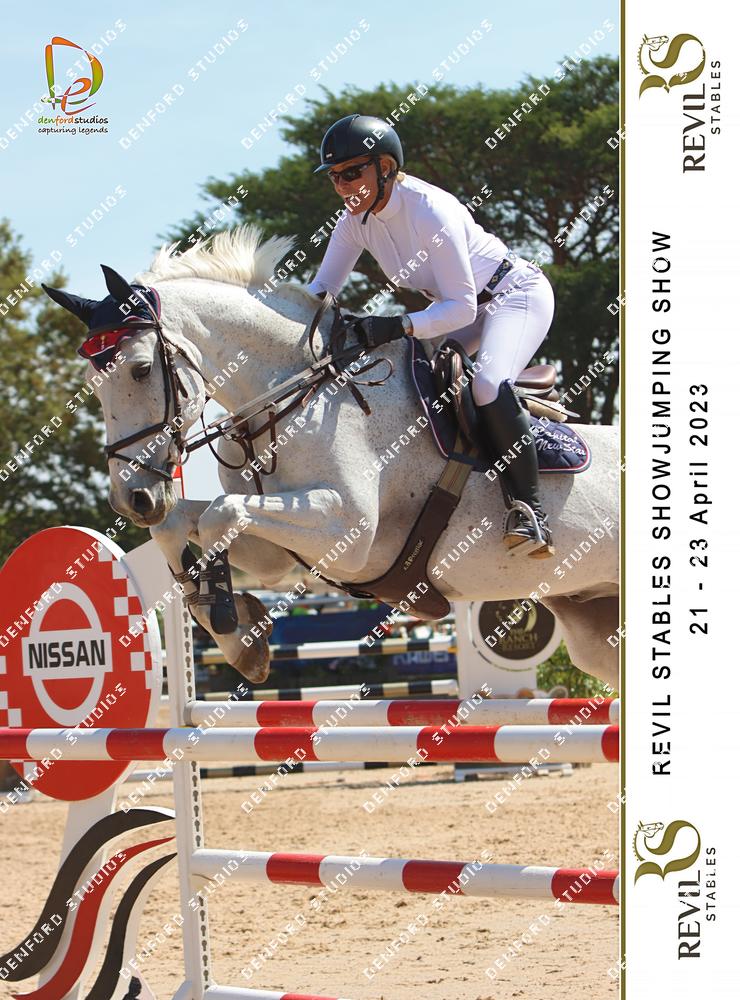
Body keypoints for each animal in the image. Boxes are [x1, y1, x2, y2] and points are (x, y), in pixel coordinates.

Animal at [43, 226, 620, 690]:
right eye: (93, 384)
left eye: (140, 369)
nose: (133, 499)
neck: (294, 395)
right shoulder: (280, 555)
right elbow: (184, 523)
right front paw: (239, 637)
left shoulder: (349, 534)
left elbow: (217, 516)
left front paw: (231, 620)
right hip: (596, 627)